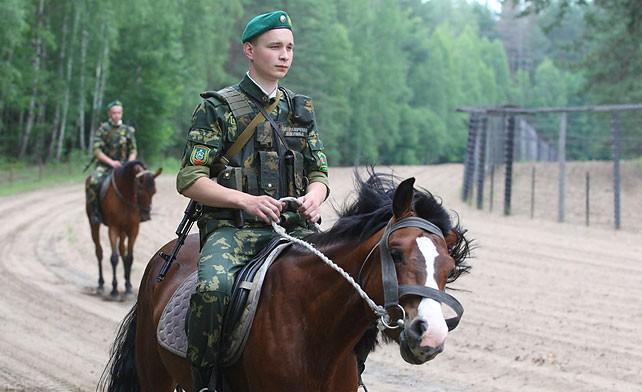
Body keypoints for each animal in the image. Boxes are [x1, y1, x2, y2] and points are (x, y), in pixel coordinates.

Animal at [86, 159, 161, 298]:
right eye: (140, 189)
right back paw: (101, 284)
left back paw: (127, 283)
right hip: (95, 225)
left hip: (123, 230)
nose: (146, 215)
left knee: (122, 250)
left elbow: (129, 257)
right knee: (99, 252)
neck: (126, 195)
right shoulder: (113, 228)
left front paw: (128, 287)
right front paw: (114, 289)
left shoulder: (133, 229)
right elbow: (114, 258)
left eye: (154, 192)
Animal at [99, 173, 470, 390]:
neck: (318, 335)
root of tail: (160, 259)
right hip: (153, 376)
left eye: (450, 268)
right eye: (395, 253)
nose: (431, 334)